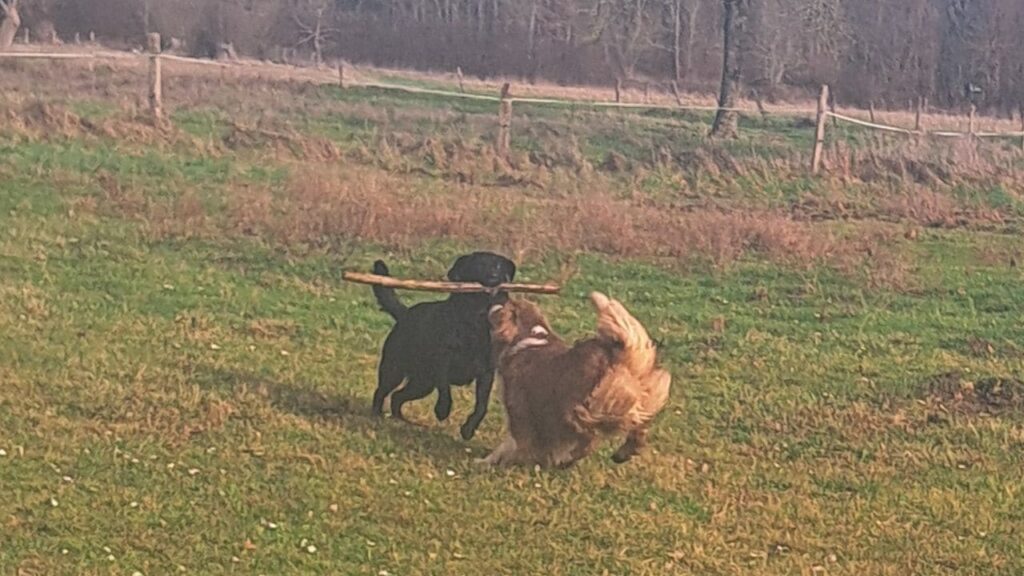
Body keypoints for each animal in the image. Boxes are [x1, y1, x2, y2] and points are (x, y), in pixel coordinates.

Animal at [370, 252, 516, 438]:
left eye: (498, 265)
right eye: (479, 265)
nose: (494, 277)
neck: (475, 321)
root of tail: (405, 313)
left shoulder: (486, 373)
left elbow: (482, 405)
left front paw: (468, 429)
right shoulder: (442, 361)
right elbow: (445, 387)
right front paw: (442, 410)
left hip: (422, 384)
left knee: (397, 397)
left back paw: (401, 420)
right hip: (394, 370)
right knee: (381, 391)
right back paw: (376, 415)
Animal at [485, 291, 671, 467]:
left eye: (506, 306)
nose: (496, 300)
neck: (531, 335)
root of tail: (624, 353)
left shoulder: (519, 411)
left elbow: (514, 443)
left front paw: (495, 462)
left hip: (581, 410)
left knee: (590, 438)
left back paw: (569, 459)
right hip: (641, 400)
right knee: (639, 427)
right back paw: (623, 453)